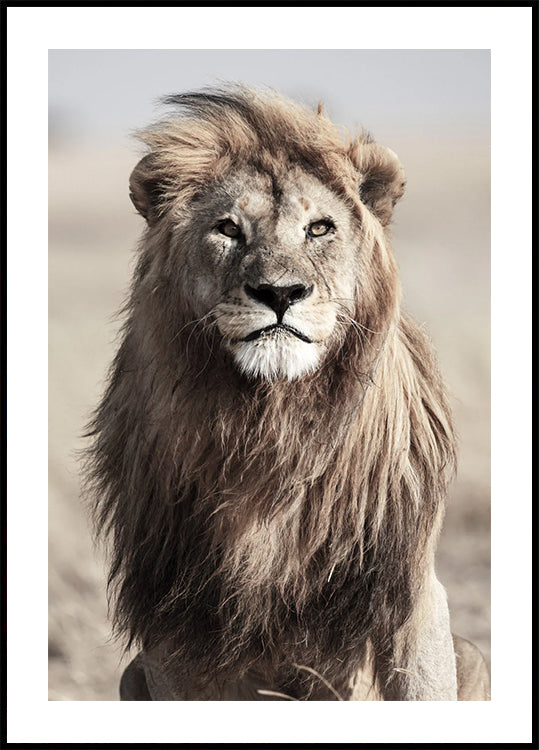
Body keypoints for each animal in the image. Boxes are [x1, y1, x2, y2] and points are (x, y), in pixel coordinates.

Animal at [85, 86, 490, 701]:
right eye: (228, 229)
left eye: (319, 229)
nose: (280, 293)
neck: (273, 425)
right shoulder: (175, 624)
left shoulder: (408, 592)